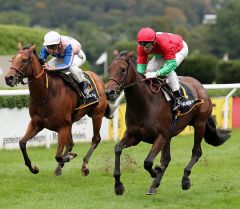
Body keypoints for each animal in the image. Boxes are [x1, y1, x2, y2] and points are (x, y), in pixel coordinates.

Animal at [4, 43, 109, 176]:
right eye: (12, 59)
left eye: (24, 60)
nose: (8, 78)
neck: (46, 94)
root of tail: (99, 78)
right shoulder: (36, 123)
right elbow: (22, 143)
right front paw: (33, 168)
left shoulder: (62, 127)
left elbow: (58, 155)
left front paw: (69, 157)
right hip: (71, 122)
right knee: (70, 144)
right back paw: (59, 168)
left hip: (97, 115)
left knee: (95, 139)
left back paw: (84, 166)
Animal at [105, 50, 231, 196]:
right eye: (109, 69)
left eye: (123, 70)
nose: (109, 92)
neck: (144, 104)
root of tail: (200, 86)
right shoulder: (134, 136)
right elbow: (118, 149)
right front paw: (118, 186)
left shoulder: (161, 136)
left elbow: (148, 162)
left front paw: (155, 171)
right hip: (170, 135)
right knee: (167, 158)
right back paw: (154, 186)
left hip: (200, 124)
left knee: (196, 152)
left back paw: (185, 180)